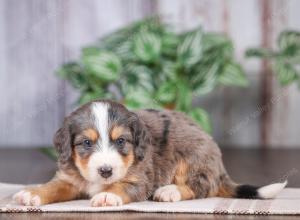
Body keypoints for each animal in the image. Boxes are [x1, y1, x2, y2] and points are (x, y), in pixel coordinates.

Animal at [12, 100, 288, 207]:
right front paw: (33, 194)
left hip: (193, 156)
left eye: (121, 141)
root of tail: (220, 169)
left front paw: (108, 196)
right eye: (86, 143)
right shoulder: (69, 178)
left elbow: (122, 186)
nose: (105, 170)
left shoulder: (140, 179)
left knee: (199, 187)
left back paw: (169, 191)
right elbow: (54, 187)